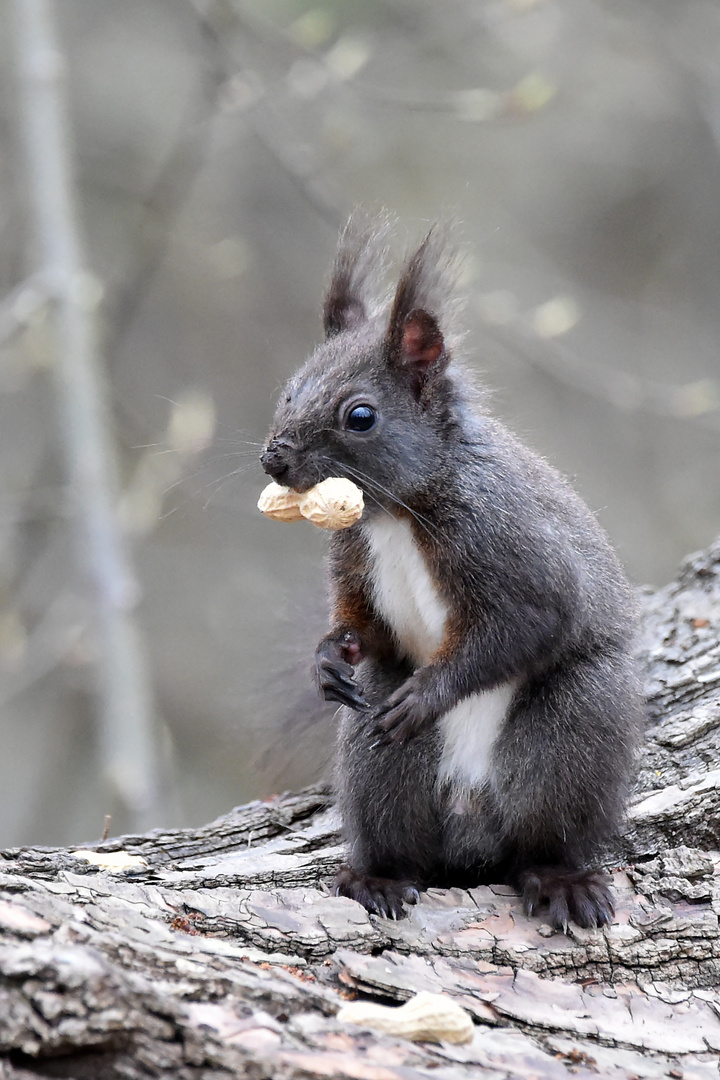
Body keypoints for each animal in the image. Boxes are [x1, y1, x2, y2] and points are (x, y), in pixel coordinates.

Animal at [262, 212, 643, 928]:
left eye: (360, 415)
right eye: (290, 388)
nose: (274, 457)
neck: (397, 513)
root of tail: (472, 831)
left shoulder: (507, 541)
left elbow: (527, 624)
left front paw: (431, 693)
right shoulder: (355, 557)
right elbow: (363, 626)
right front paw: (327, 656)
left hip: (574, 732)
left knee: (540, 840)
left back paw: (560, 879)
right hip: (379, 759)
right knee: (403, 838)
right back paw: (379, 879)